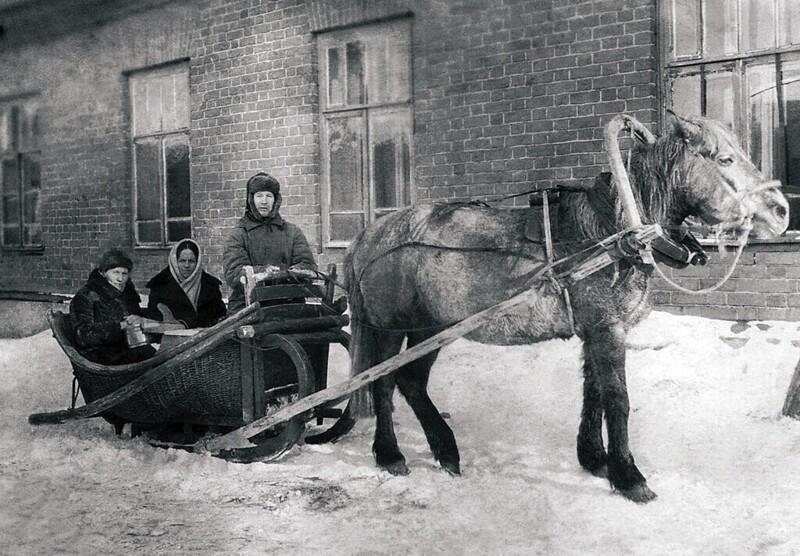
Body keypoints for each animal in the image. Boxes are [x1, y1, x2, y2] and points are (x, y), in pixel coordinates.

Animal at [340, 113, 788, 504]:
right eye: (724, 159)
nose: (781, 211)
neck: (612, 233)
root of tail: (370, 233)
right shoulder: (608, 329)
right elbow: (618, 400)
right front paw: (630, 478)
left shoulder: (597, 330)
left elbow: (594, 392)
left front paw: (595, 460)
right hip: (390, 327)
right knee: (382, 382)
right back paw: (391, 454)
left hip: (430, 328)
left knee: (411, 382)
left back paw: (446, 451)